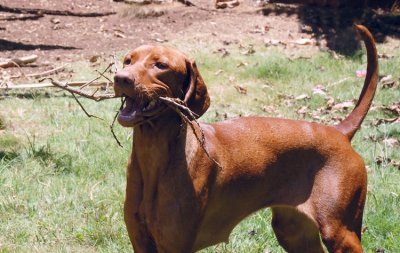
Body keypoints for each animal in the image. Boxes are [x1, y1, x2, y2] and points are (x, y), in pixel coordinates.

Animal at [112, 24, 378, 253]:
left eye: (161, 65)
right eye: (128, 60)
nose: (121, 77)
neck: (154, 156)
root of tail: (339, 132)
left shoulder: (174, 245)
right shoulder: (141, 241)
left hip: (339, 231)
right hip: (292, 230)